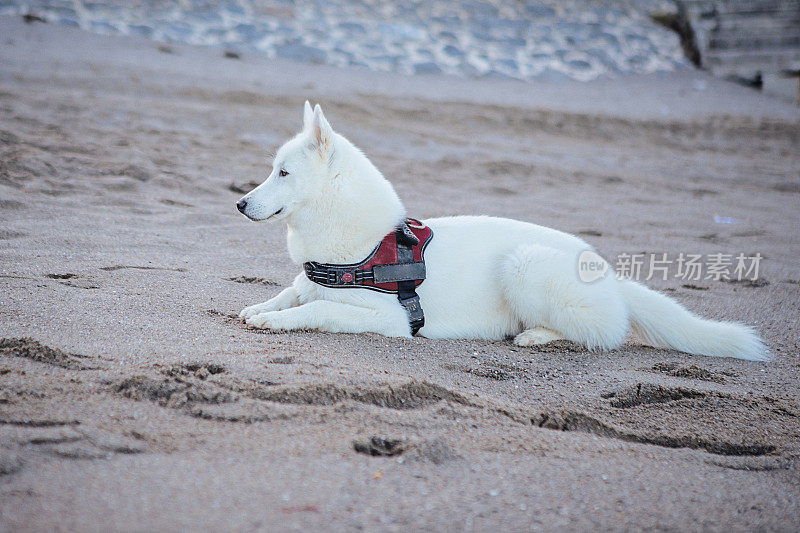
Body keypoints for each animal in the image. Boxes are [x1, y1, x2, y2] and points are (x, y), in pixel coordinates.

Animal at [234, 103, 764, 362]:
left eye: (283, 173)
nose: (239, 203)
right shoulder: (308, 279)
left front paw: (276, 321)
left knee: (604, 333)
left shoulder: (390, 319)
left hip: (525, 264)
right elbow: (293, 291)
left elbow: (319, 308)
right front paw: (261, 308)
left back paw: (537, 336)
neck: (363, 245)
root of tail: (615, 280)